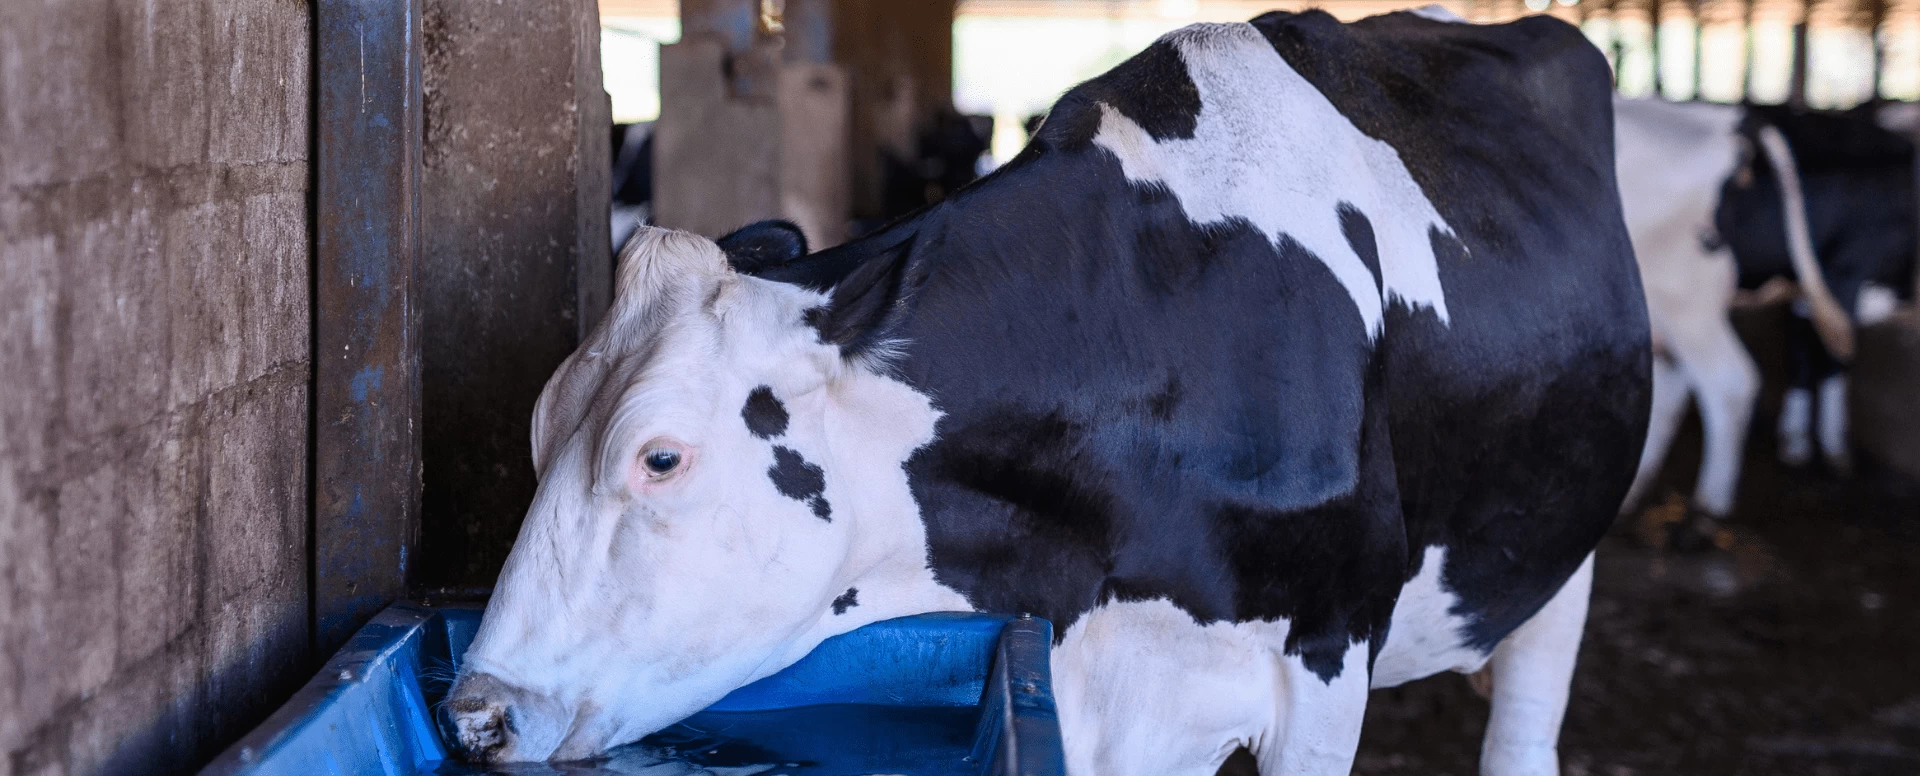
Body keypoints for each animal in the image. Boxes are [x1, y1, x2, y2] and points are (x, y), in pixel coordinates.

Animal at [443, 11, 1649, 776]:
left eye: (660, 456)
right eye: (539, 429)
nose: (473, 714)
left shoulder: (1326, 658)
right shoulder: (1079, 675)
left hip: (1559, 559)